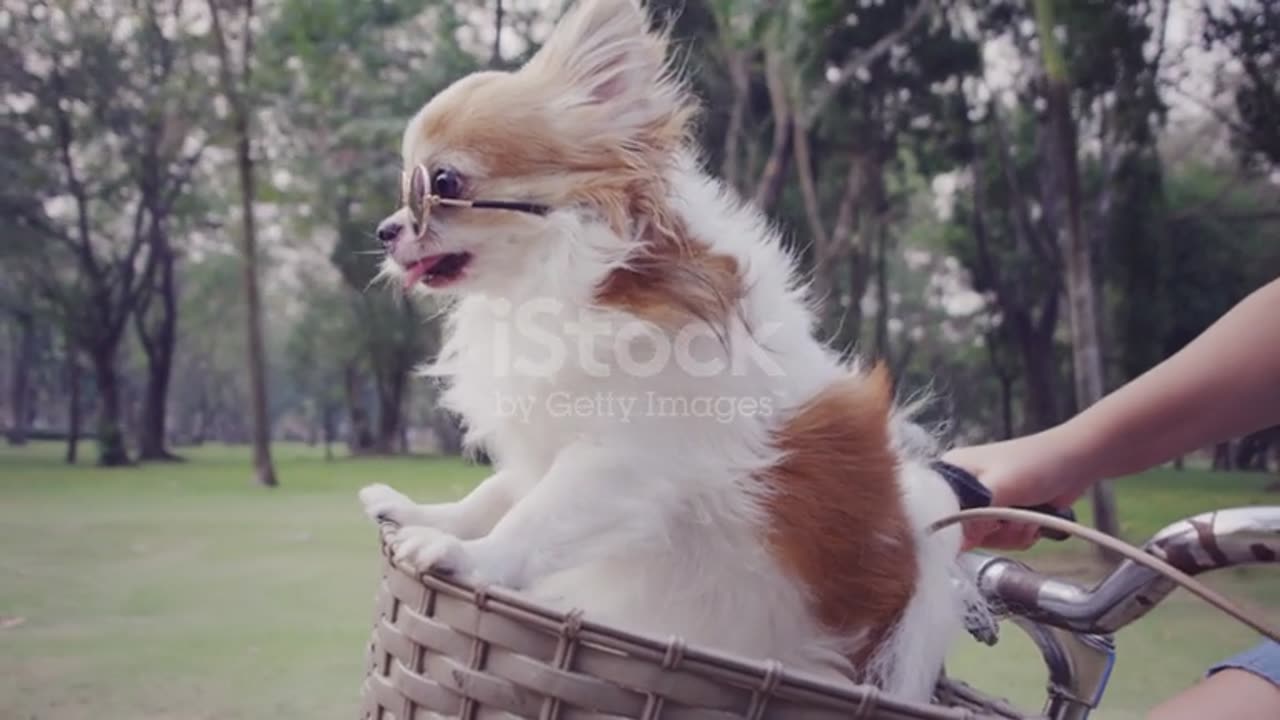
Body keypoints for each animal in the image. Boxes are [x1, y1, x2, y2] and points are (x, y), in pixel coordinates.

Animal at [355, 0, 962, 696]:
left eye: (443, 183)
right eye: (406, 193)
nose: (386, 229)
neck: (561, 282)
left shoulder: (622, 460)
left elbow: (534, 518)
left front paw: (464, 555)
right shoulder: (555, 435)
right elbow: (499, 493)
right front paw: (422, 514)